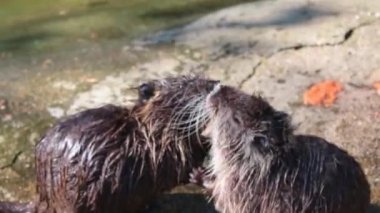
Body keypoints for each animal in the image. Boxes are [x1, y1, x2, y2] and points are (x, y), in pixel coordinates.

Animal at [0, 75, 220, 212]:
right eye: (186, 86)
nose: (216, 83)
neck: (145, 130)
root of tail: (40, 201)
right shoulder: (160, 149)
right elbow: (178, 165)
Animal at [189, 85, 370, 213]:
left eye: (236, 119)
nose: (219, 89)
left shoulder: (241, 191)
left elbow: (223, 200)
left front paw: (198, 175)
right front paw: (199, 173)